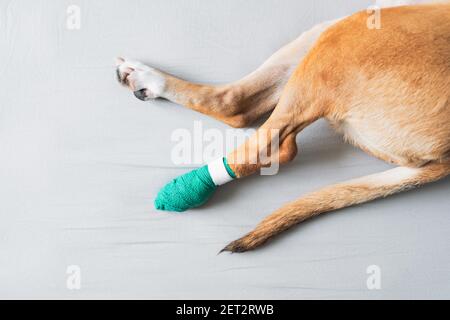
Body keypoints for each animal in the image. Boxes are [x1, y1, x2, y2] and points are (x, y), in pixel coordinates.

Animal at [117, 1, 450, 254]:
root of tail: (445, 159)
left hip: (345, 38)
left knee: (269, 142)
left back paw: (183, 188)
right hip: (338, 29)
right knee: (238, 104)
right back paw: (148, 80)